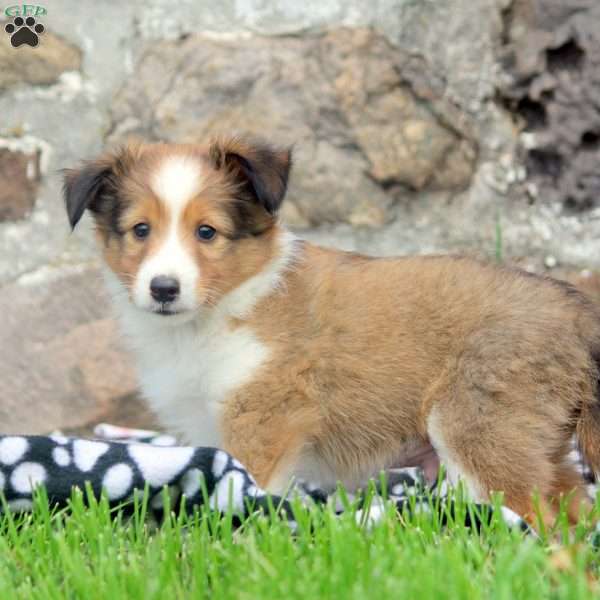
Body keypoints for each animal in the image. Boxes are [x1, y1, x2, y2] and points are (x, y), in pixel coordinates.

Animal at [64, 137, 600, 524]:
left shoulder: (263, 418)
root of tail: (572, 308)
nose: (163, 289)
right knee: (574, 514)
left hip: (480, 428)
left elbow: (246, 491)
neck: (219, 311)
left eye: (207, 232)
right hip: (538, 443)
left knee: (537, 519)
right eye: (140, 230)